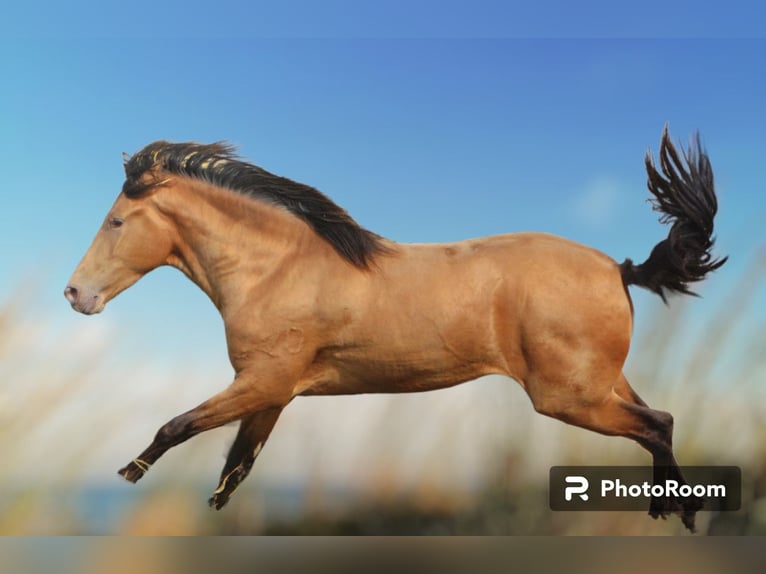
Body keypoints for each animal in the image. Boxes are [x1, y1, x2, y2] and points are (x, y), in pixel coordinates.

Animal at [64, 128, 728, 532]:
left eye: (116, 220)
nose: (76, 294)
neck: (276, 269)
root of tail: (618, 268)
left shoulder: (262, 383)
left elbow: (178, 425)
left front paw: (130, 470)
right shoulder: (272, 394)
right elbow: (236, 468)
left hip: (569, 396)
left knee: (657, 424)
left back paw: (679, 514)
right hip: (600, 385)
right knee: (659, 421)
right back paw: (674, 511)